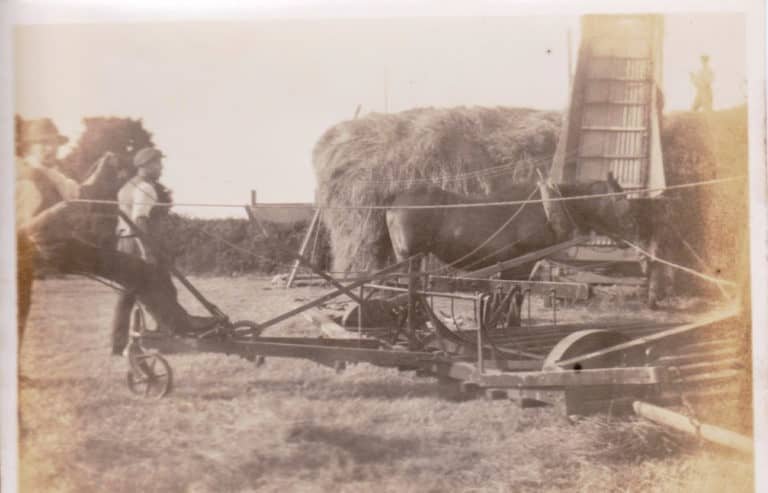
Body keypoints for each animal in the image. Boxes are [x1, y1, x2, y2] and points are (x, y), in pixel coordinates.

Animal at [388, 172, 640, 272]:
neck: (547, 205)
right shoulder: (519, 264)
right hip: (407, 257)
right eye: (620, 201)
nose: (632, 233)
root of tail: (395, 200)